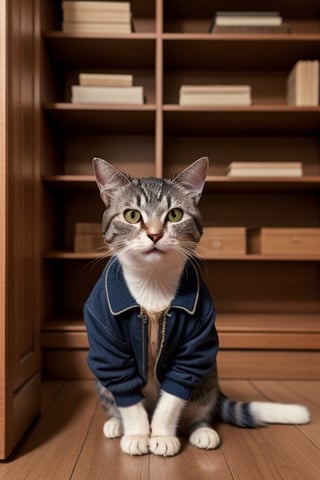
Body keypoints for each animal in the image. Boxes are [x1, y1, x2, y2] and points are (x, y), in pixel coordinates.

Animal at [82, 156, 310, 456]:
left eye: (174, 215)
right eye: (132, 215)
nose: (154, 235)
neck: (153, 284)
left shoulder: (196, 344)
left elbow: (174, 394)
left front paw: (162, 435)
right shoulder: (107, 345)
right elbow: (125, 390)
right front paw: (138, 433)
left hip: (209, 373)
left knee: (201, 406)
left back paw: (203, 430)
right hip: (102, 381)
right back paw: (115, 423)